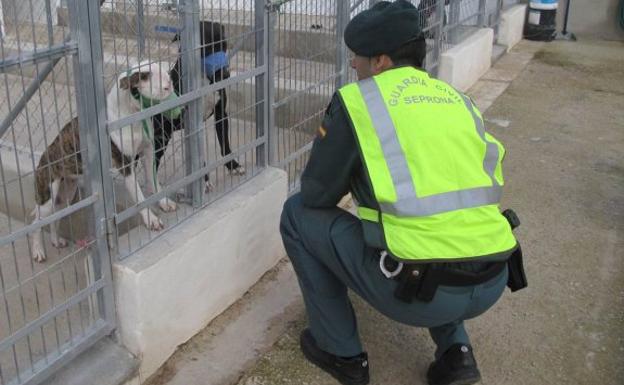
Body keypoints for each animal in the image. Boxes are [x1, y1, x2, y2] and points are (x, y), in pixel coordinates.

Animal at [31, 61, 178, 262]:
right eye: (144, 76)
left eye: (163, 71)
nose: (169, 83)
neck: (130, 113)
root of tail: (42, 160)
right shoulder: (126, 166)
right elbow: (139, 198)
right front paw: (151, 219)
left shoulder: (148, 154)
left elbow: (154, 184)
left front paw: (163, 202)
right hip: (47, 195)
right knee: (36, 222)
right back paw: (38, 251)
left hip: (66, 195)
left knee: (56, 217)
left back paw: (55, 240)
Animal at [152, 20, 245, 191]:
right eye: (206, 47)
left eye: (224, 45)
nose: (225, 74)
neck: (202, 79)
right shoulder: (193, 125)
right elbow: (199, 159)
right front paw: (204, 181)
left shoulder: (221, 113)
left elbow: (225, 144)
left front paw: (233, 166)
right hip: (161, 137)